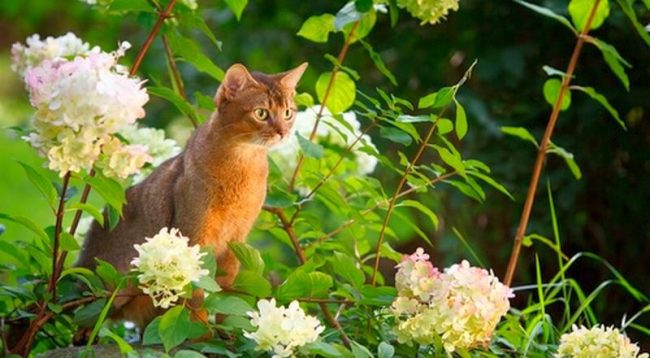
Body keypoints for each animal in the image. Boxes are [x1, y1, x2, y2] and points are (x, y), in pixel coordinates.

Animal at [74, 63, 308, 328]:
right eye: (261, 113)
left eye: (288, 113)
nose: (283, 132)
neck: (242, 165)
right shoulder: (193, 237)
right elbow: (195, 301)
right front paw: (201, 333)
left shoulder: (236, 241)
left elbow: (229, 297)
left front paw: (229, 328)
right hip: (117, 287)